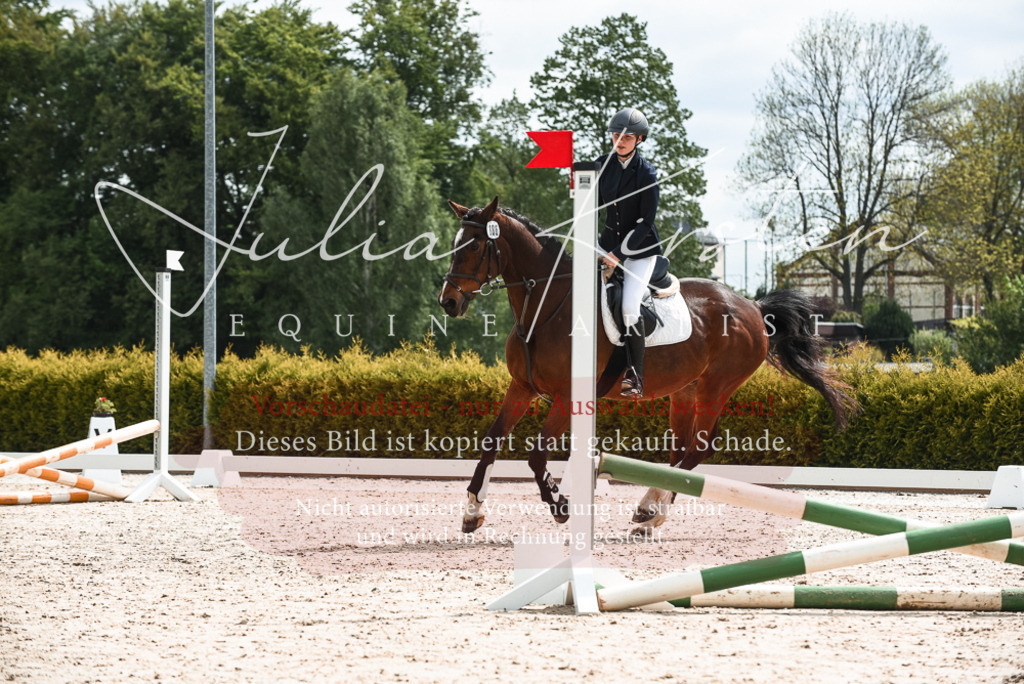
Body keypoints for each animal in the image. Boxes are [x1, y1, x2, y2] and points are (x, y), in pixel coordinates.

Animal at [439, 197, 858, 534]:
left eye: (476, 246)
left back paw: (649, 508)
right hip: (685, 390)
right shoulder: (522, 387)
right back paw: (651, 512)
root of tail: (754, 307)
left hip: (716, 387)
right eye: (454, 246)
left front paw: (560, 505)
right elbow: (492, 440)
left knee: (701, 445)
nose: (448, 302)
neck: (546, 306)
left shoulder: (567, 396)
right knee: (681, 449)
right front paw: (473, 511)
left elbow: (536, 455)